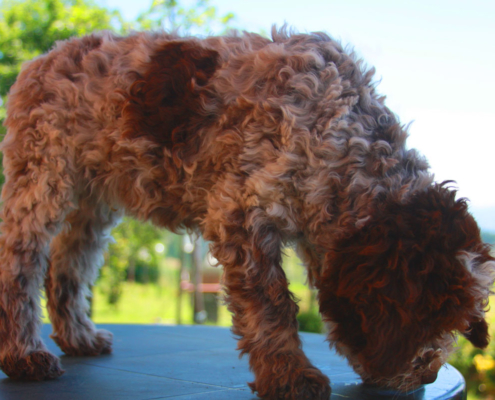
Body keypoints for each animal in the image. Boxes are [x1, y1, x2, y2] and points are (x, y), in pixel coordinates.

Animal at [0, 26, 494, 398]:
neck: (340, 135)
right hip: (41, 176)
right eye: (432, 316)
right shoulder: (240, 213)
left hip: (93, 199)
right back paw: (23, 356)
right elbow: (273, 304)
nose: (428, 373)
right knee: (20, 266)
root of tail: (42, 59)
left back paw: (78, 338)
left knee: (67, 266)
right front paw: (291, 375)